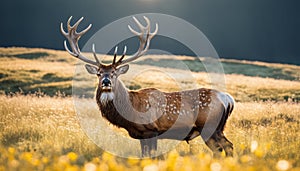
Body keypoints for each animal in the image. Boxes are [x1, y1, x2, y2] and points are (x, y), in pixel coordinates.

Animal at [60, 16, 234, 158]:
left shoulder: (151, 130)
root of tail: (228, 99)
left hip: (210, 126)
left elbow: (150, 156)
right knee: (226, 147)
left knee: (225, 148)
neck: (130, 111)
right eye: (98, 73)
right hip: (218, 128)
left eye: (115, 73)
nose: (106, 81)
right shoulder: (141, 135)